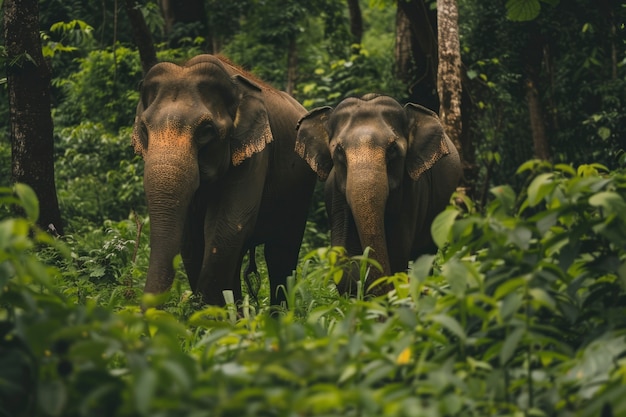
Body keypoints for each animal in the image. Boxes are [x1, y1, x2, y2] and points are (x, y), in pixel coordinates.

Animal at [132, 53, 316, 304]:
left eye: (206, 131)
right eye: (144, 128)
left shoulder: (255, 153)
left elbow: (228, 226)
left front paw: (211, 311)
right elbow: (191, 239)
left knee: (280, 251)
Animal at [294, 94, 460, 296]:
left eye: (393, 149)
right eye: (339, 150)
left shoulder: (413, 191)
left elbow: (398, 250)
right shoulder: (336, 195)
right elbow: (346, 258)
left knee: (425, 253)